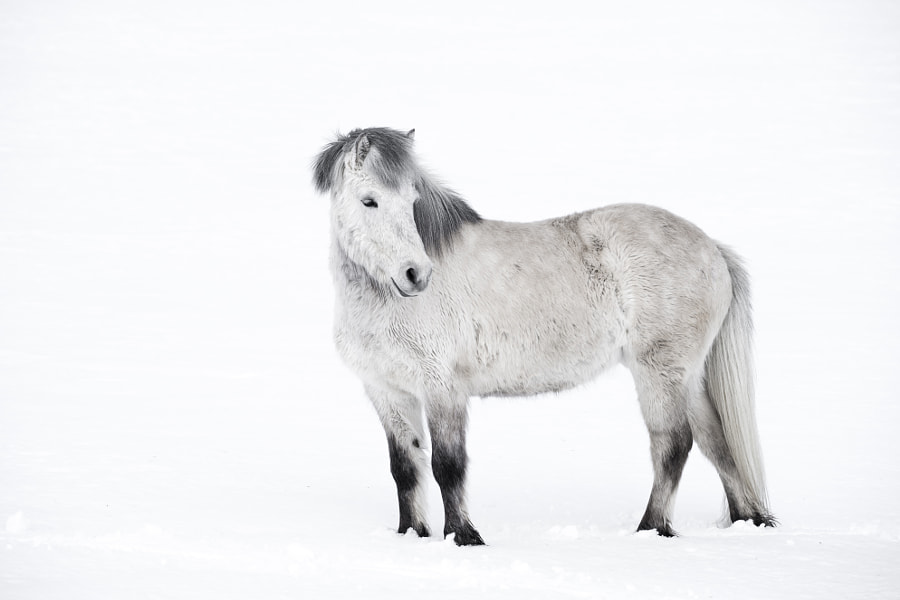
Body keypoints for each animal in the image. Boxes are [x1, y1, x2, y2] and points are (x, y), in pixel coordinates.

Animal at [312, 129, 772, 548]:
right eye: (368, 200)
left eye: (411, 203)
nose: (416, 274)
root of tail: (712, 248)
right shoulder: (386, 391)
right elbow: (405, 467)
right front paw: (412, 534)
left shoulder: (443, 390)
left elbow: (447, 465)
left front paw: (464, 536)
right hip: (688, 377)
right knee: (717, 442)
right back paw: (747, 520)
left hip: (660, 373)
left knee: (674, 445)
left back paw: (651, 529)